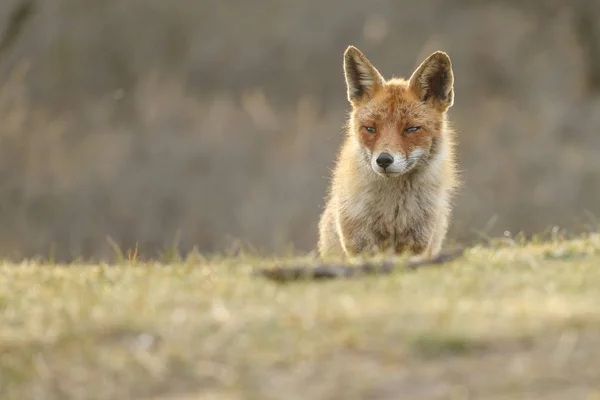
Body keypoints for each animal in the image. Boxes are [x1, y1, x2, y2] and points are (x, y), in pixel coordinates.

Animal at [318, 45, 460, 260]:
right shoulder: (358, 244)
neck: (392, 213)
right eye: (370, 129)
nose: (384, 160)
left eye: (411, 129)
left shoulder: (417, 244)